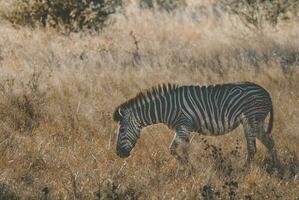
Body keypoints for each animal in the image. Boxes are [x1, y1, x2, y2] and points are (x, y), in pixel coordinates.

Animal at [113, 81, 278, 164]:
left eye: (122, 131)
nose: (118, 154)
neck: (167, 108)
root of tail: (266, 92)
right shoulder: (184, 129)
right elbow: (186, 150)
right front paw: (188, 169)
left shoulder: (183, 126)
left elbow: (172, 149)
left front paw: (185, 166)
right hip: (255, 122)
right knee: (269, 143)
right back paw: (276, 166)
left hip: (251, 120)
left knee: (253, 148)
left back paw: (246, 169)